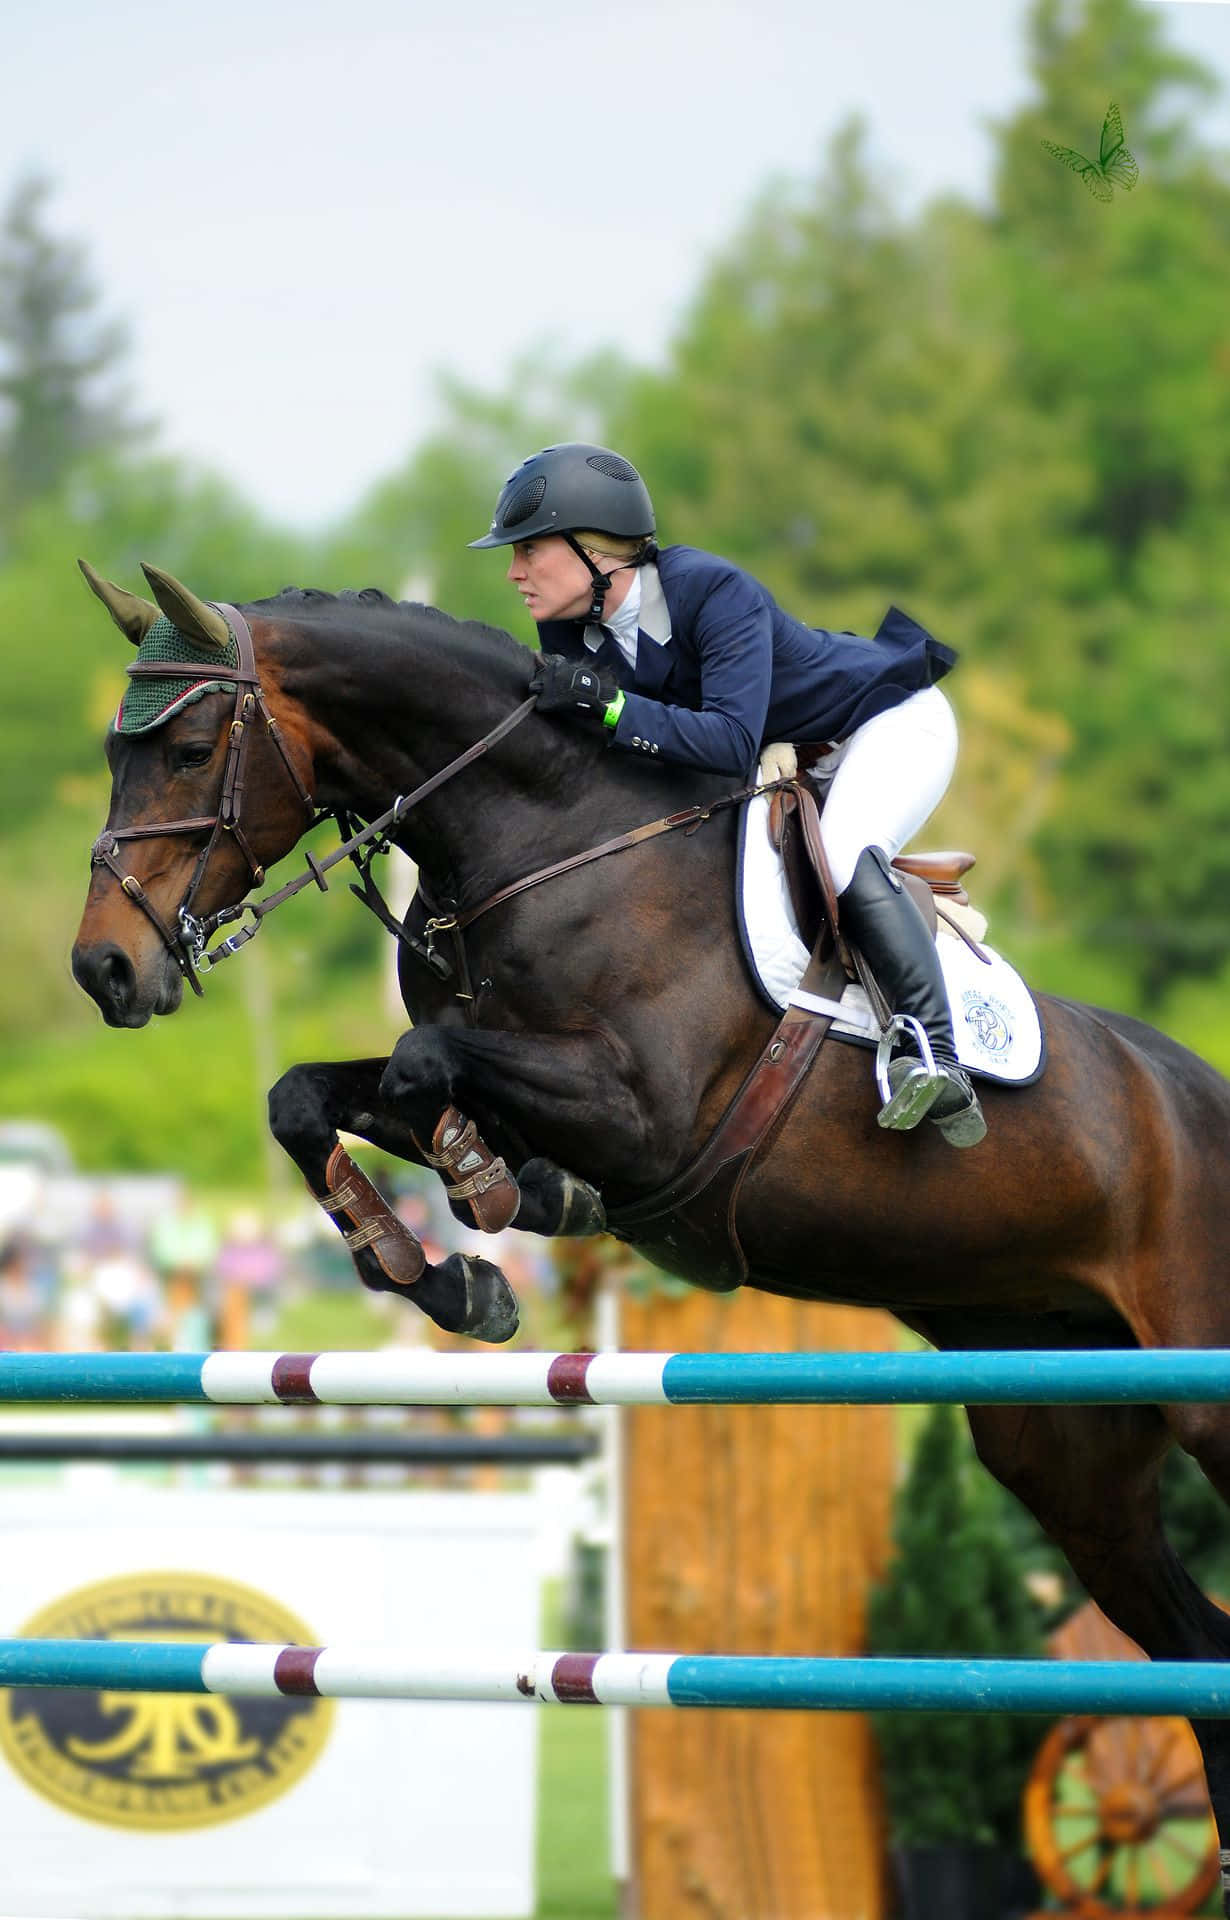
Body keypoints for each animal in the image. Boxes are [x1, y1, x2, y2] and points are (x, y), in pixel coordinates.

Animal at [71, 562, 1230, 1909]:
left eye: (190, 748)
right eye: (115, 752)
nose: (104, 970)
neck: (541, 843)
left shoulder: (648, 1111)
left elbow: (425, 1064)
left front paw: (507, 1195)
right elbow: (314, 1095)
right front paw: (448, 1268)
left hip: (1201, 1401)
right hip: (1064, 1447)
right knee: (1196, 1647)